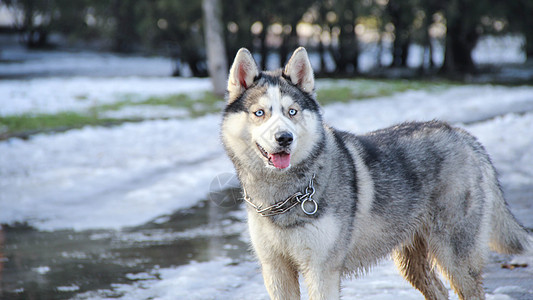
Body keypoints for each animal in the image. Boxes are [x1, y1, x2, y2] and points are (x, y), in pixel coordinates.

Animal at [219, 47, 528, 300]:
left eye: (291, 112)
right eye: (260, 113)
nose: (284, 138)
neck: (284, 195)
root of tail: (464, 135)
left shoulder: (321, 271)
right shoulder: (276, 271)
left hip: (456, 259)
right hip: (411, 263)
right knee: (439, 291)